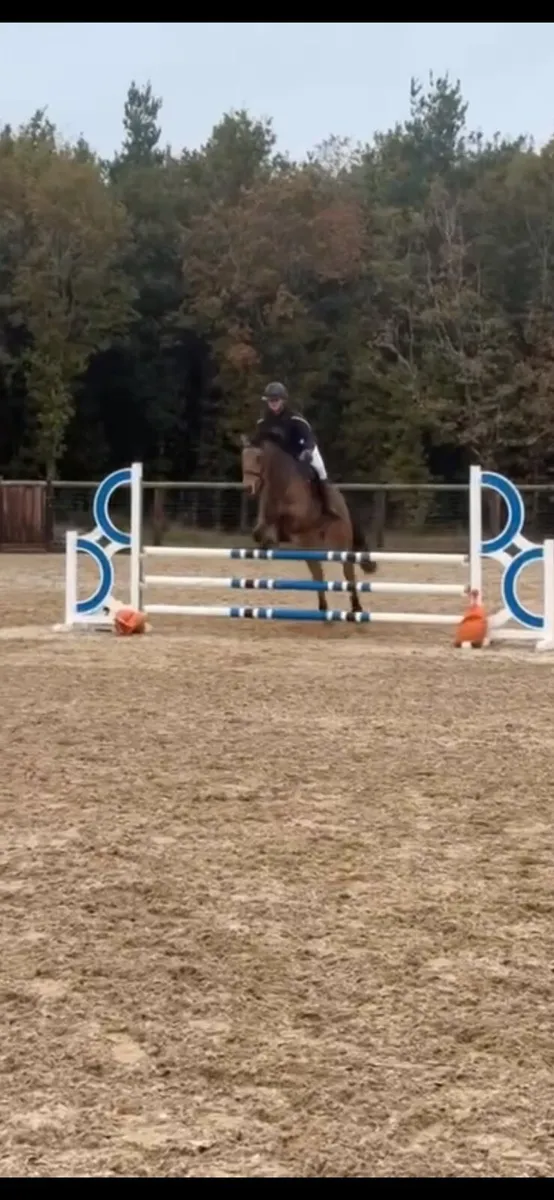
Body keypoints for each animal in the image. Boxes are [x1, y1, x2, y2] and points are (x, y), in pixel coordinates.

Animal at [240, 434, 377, 616]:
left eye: (258, 458)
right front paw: (268, 542)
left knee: (348, 571)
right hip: (309, 549)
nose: (248, 488)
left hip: (339, 543)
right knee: (318, 573)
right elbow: (259, 531)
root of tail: (343, 504)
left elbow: (284, 521)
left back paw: (356, 607)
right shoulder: (266, 519)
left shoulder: (299, 519)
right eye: (243, 459)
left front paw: (272, 538)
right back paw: (323, 608)